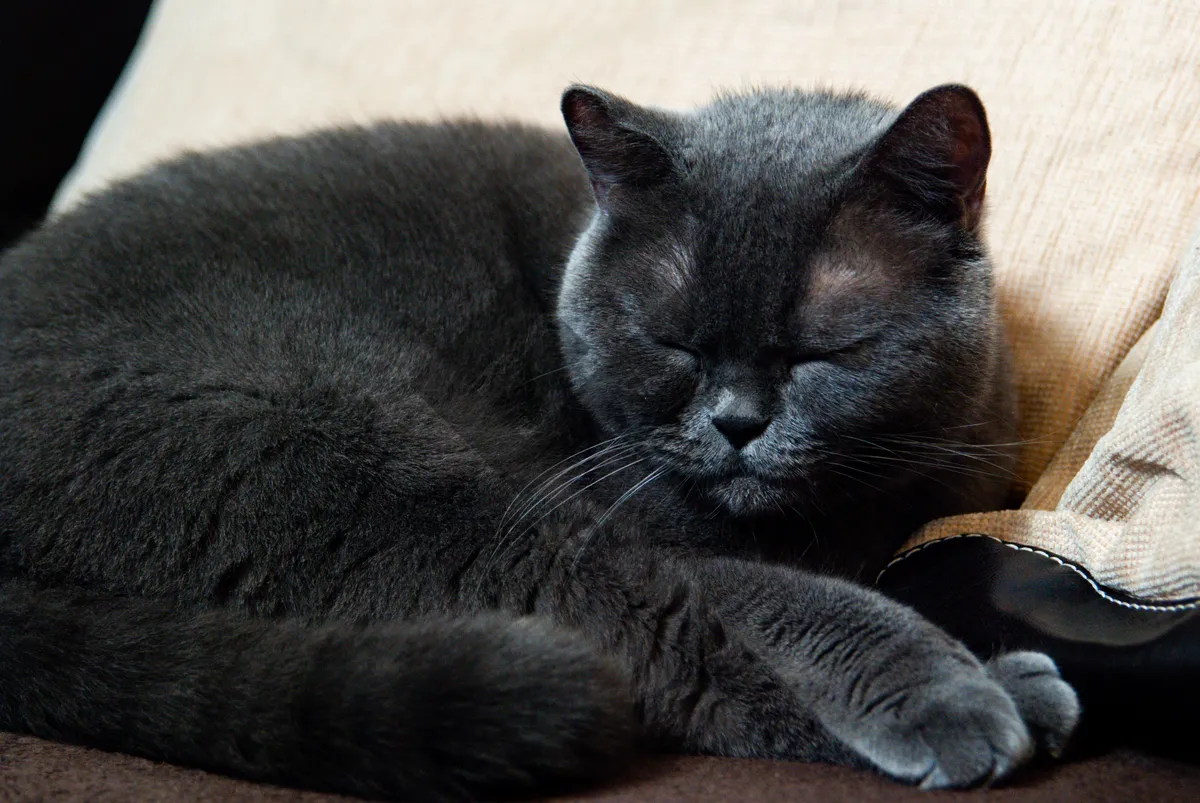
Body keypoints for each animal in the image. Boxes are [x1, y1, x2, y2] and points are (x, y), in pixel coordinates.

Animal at [0, 81, 1080, 796]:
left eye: (825, 351)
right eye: (670, 340)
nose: (737, 422)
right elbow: (770, 595)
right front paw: (951, 682)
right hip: (347, 456)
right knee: (655, 632)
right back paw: (990, 695)